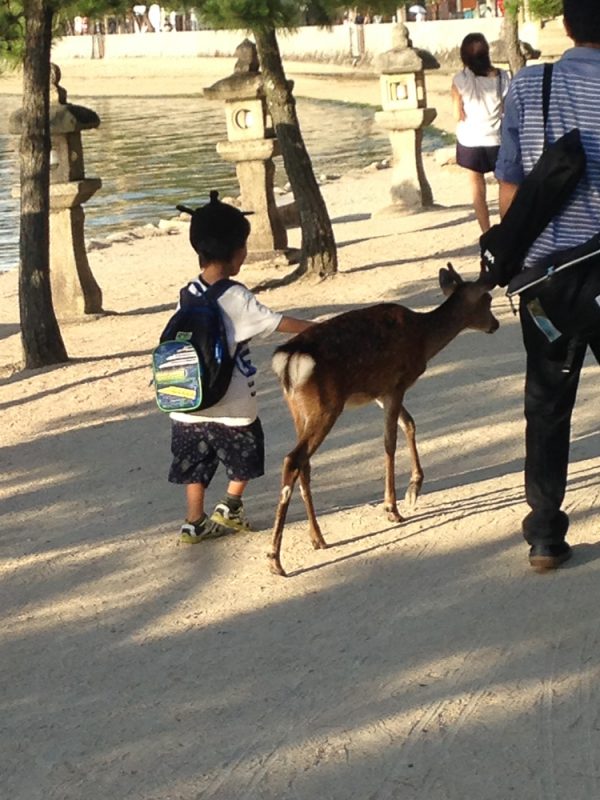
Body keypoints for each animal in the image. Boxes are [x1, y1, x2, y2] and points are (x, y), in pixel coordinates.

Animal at [268, 262, 496, 576]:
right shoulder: (396, 383)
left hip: (299, 409)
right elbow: (390, 441)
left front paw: (413, 490)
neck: (424, 339)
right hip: (326, 407)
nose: (495, 325)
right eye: (488, 300)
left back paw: (318, 538)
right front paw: (393, 508)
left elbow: (409, 424)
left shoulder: (379, 391)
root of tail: (289, 359)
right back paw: (275, 559)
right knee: (293, 459)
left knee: (304, 464)